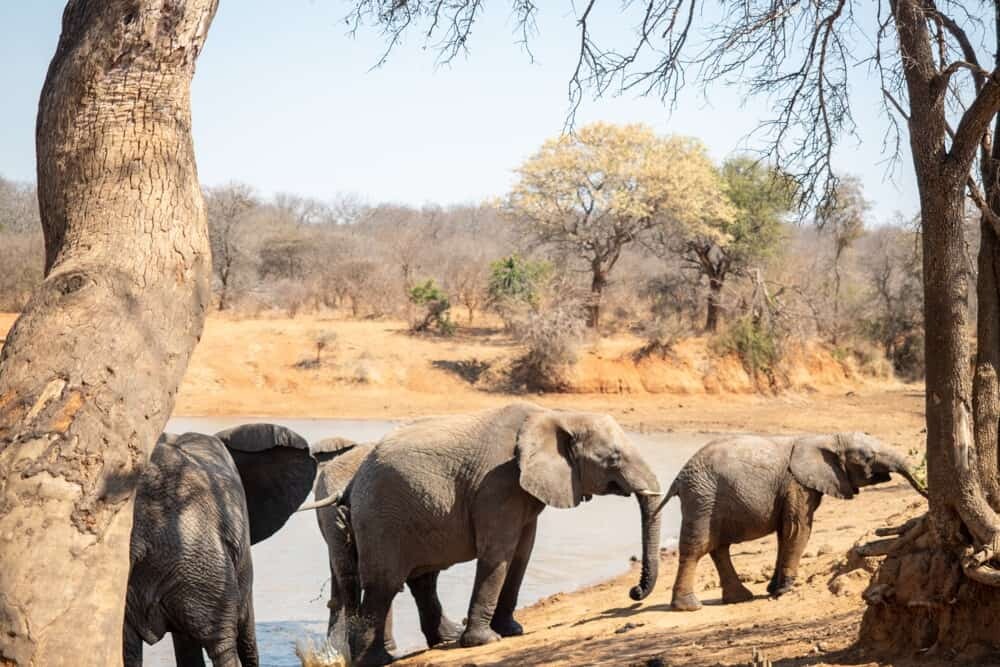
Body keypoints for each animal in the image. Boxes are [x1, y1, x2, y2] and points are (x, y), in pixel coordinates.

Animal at [660, 430, 924, 612]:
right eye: (869, 457)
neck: (826, 438)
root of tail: (679, 477)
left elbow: (784, 533)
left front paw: (773, 589)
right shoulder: (796, 485)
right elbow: (797, 530)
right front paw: (785, 590)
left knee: (718, 547)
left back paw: (740, 598)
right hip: (702, 497)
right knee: (697, 548)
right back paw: (690, 607)